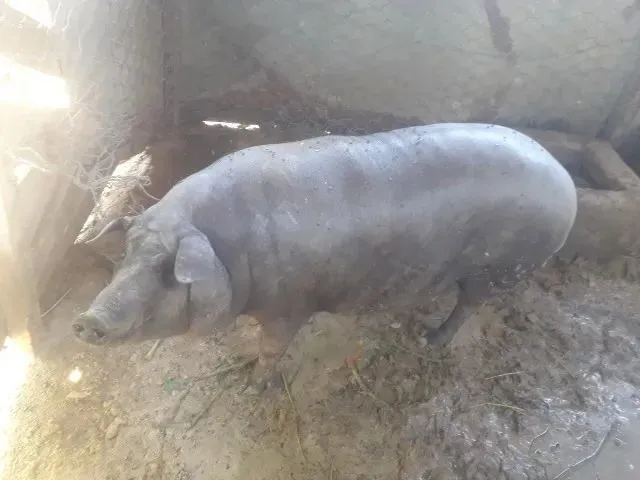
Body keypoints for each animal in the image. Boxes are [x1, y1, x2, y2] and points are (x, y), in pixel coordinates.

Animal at [73, 123, 577, 390]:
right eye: (127, 256)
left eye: (165, 271)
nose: (86, 319)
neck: (231, 251)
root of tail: (566, 180)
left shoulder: (289, 305)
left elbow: (273, 348)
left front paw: (254, 383)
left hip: (498, 267)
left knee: (469, 304)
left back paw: (430, 340)